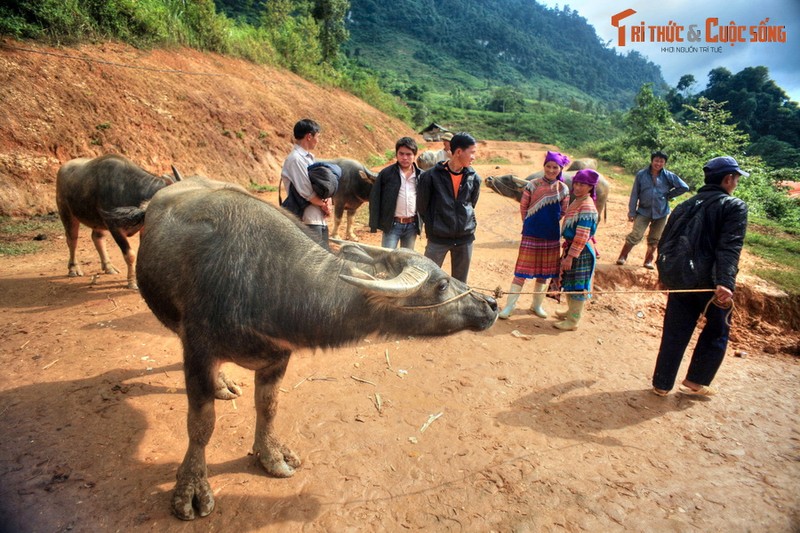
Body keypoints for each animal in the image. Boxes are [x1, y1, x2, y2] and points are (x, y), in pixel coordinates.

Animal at [55, 152, 180, 288]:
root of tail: (62, 169)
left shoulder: (143, 227)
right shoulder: (114, 227)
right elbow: (130, 255)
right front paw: (132, 282)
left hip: (98, 221)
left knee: (97, 238)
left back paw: (108, 267)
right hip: (66, 213)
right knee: (72, 240)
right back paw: (73, 268)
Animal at [138, 176, 500, 520]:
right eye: (441, 284)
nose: (491, 303)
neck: (265, 279)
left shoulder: (277, 358)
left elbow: (268, 407)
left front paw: (271, 455)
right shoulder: (199, 354)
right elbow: (201, 425)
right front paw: (192, 487)